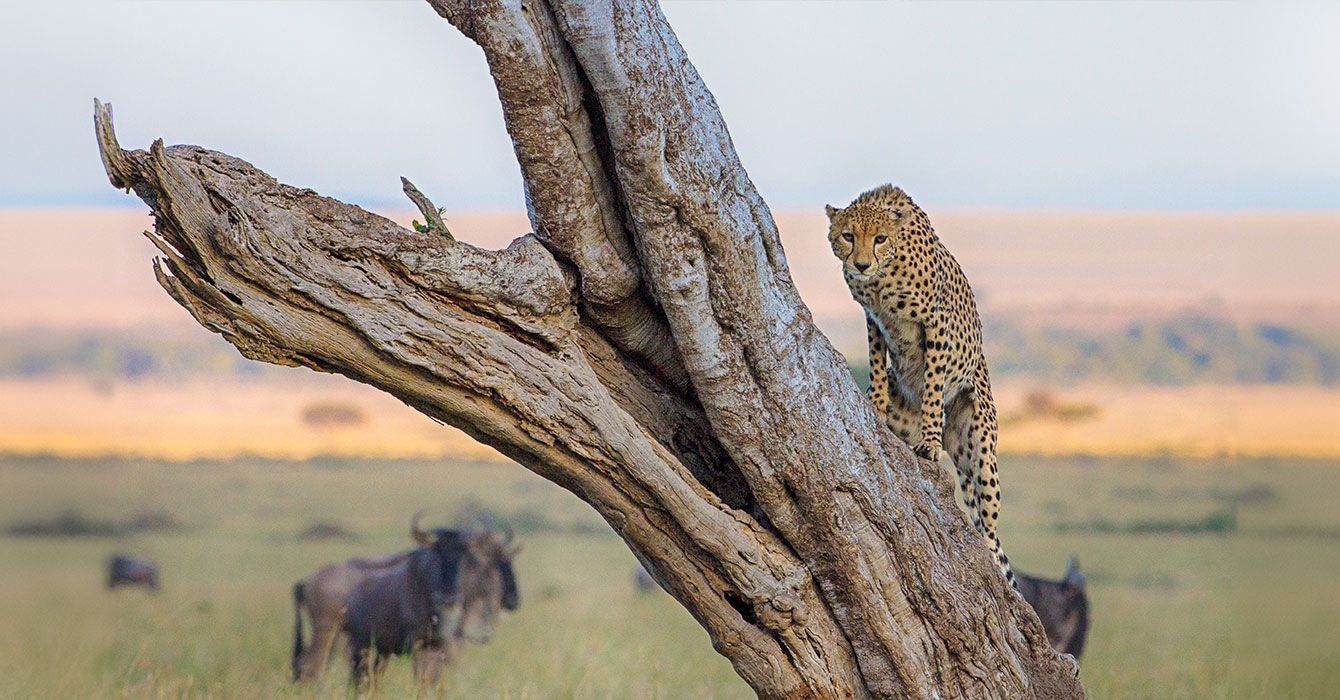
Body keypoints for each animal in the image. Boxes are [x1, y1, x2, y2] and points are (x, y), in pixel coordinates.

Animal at [825, 183, 1013, 581]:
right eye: (848, 236)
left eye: (880, 238)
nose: (861, 264)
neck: (883, 275)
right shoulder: (874, 319)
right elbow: (876, 366)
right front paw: (876, 405)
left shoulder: (936, 323)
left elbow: (932, 386)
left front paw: (928, 441)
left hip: (981, 452)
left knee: (989, 530)